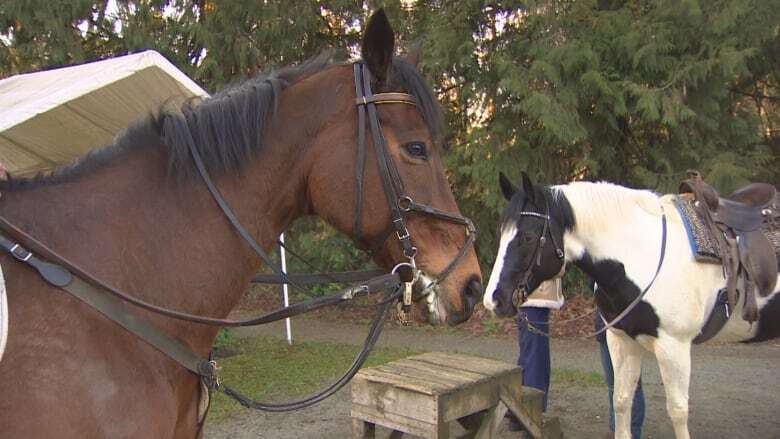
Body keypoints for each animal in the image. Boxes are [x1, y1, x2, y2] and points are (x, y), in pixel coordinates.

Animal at [484, 172, 776, 439]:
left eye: (527, 237)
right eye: (501, 233)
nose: (493, 299)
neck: (644, 255)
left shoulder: (674, 348)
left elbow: (678, 412)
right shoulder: (623, 341)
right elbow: (622, 402)